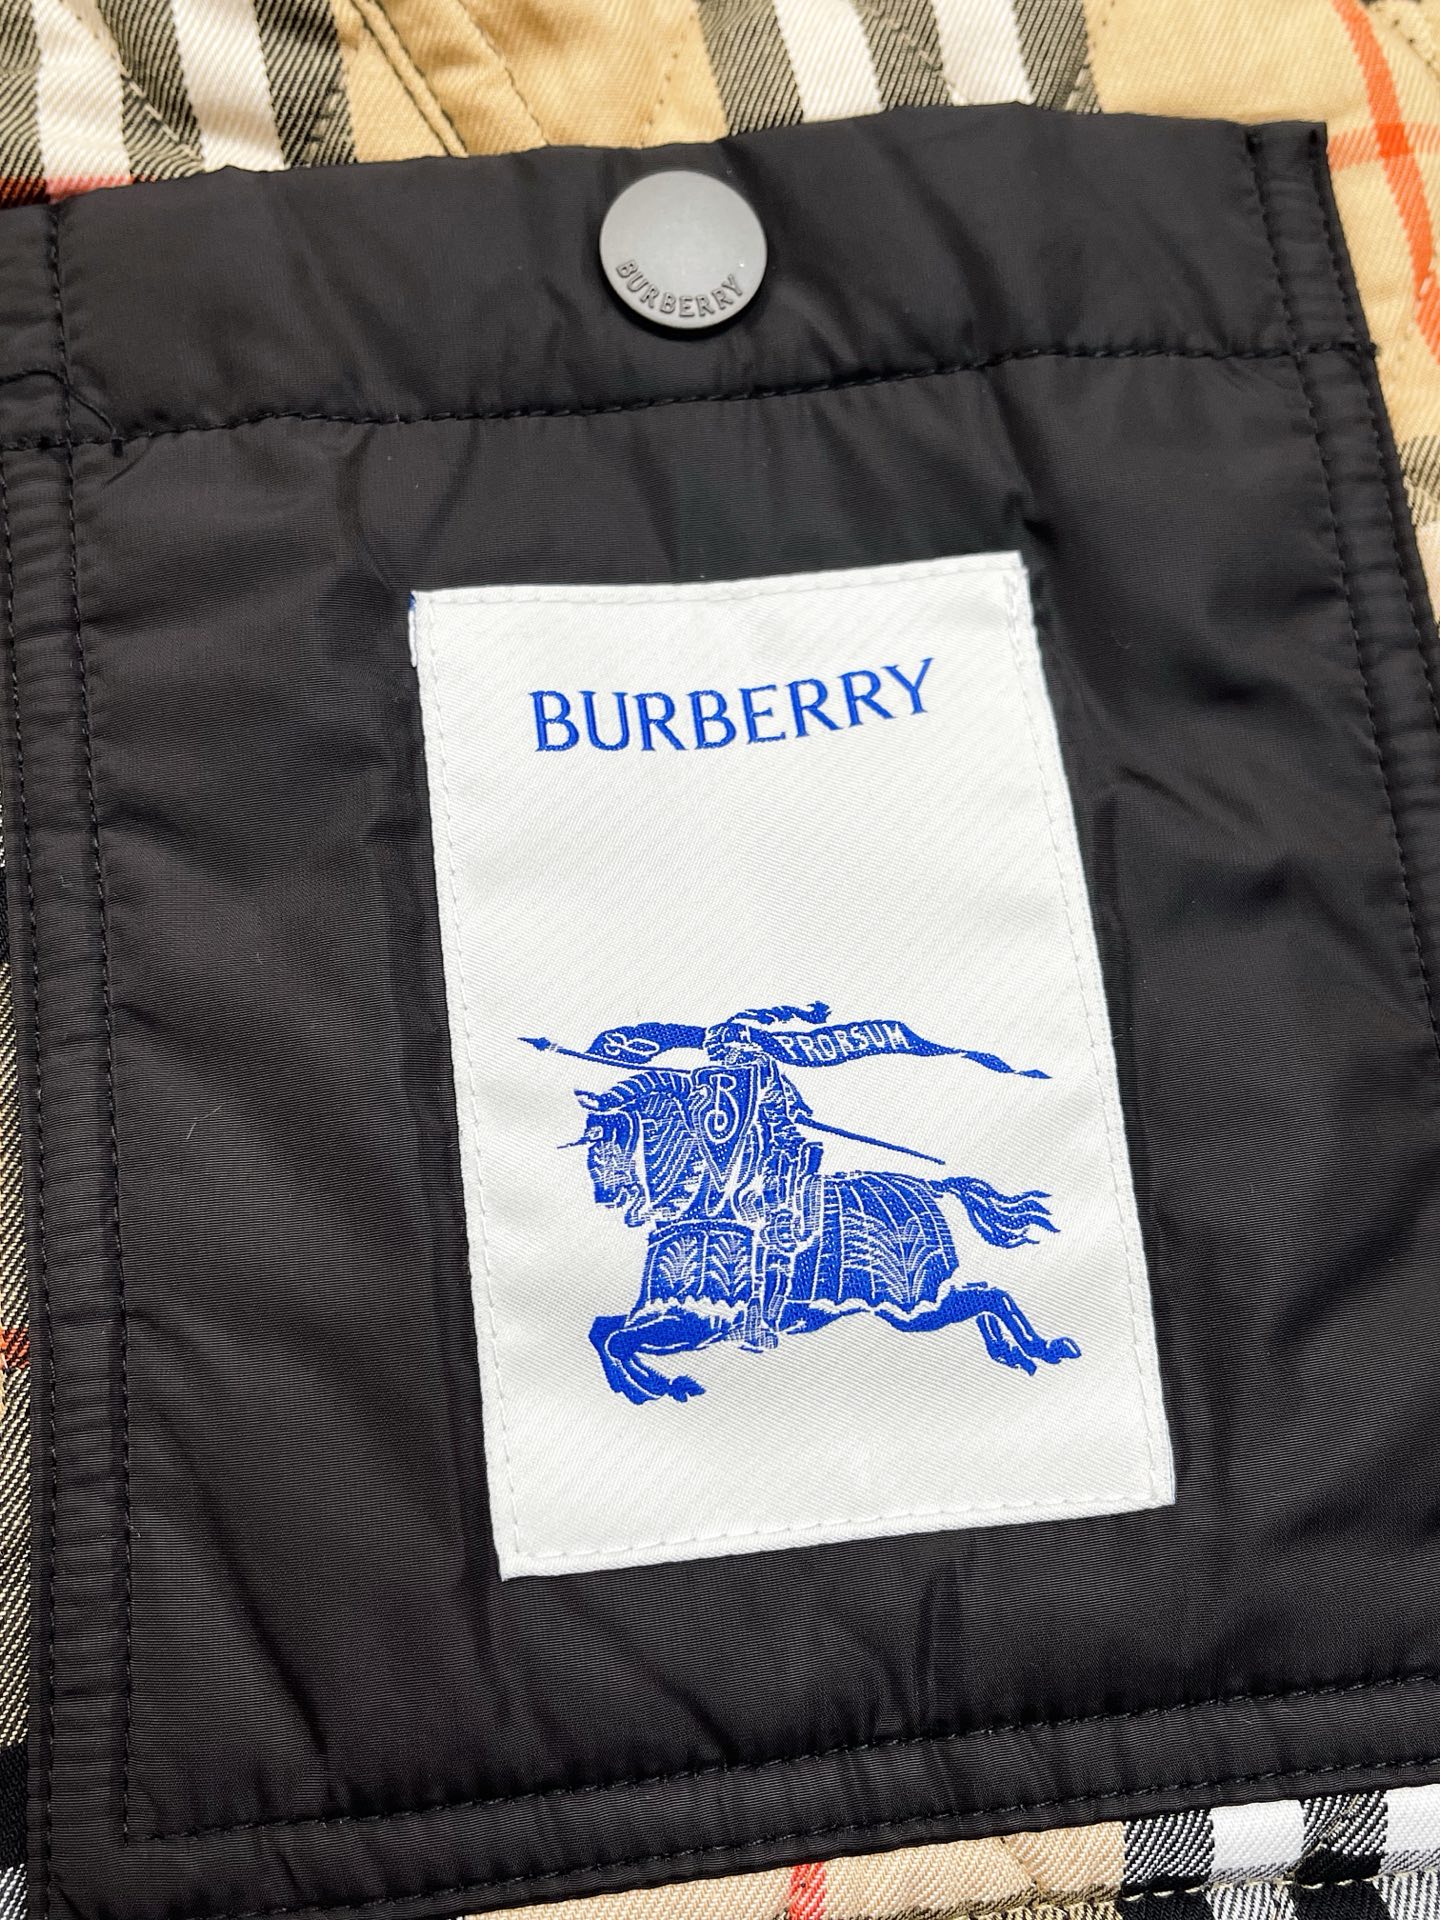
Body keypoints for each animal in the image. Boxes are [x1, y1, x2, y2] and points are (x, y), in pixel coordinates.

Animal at [572, 1068, 1081, 1405]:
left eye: (608, 1139)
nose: (604, 1194)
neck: (705, 1204)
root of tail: (930, 1185)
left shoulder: (700, 1319)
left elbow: (618, 1341)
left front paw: (665, 1386)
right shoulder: (664, 1314)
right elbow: (604, 1332)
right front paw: (644, 1389)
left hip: (914, 1305)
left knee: (989, 1296)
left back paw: (1041, 1348)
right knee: (984, 1296)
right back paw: (1014, 1353)